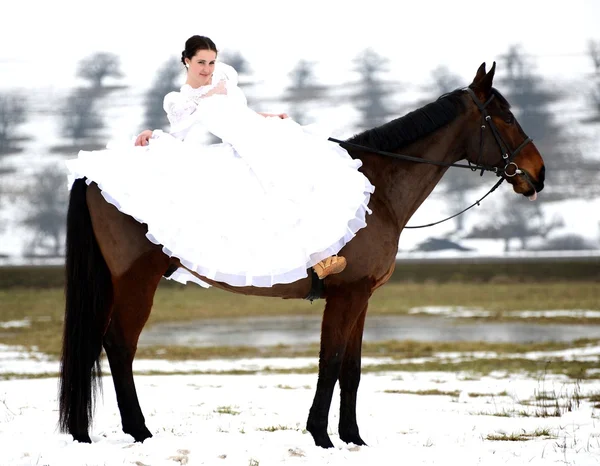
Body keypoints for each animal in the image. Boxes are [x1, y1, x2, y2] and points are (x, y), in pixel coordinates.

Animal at [58, 62, 548, 448]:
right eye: (504, 117)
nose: (538, 174)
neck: (377, 188)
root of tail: (91, 175)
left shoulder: (361, 297)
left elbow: (351, 367)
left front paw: (353, 438)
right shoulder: (347, 295)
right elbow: (330, 361)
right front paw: (321, 435)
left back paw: (86, 431)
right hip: (136, 282)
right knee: (119, 345)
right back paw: (139, 431)